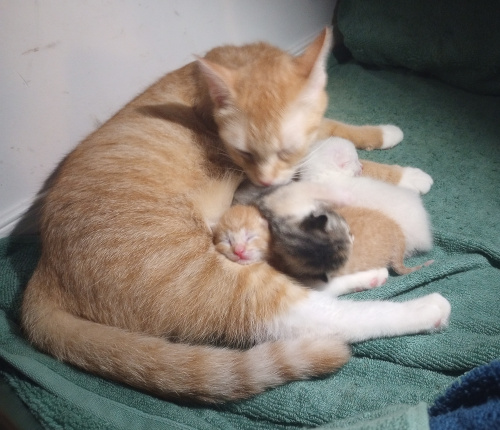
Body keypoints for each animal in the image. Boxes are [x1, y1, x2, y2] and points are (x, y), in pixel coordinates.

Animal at [21, 27, 450, 404]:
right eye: (244, 153)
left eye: (285, 149)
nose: (265, 179)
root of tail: (44, 270)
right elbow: (345, 160)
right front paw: (405, 174)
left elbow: (332, 126)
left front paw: (382, 134)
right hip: (205, 274)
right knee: (315, 314)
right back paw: (425, 308)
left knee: (313, 285)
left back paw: (369, 275)